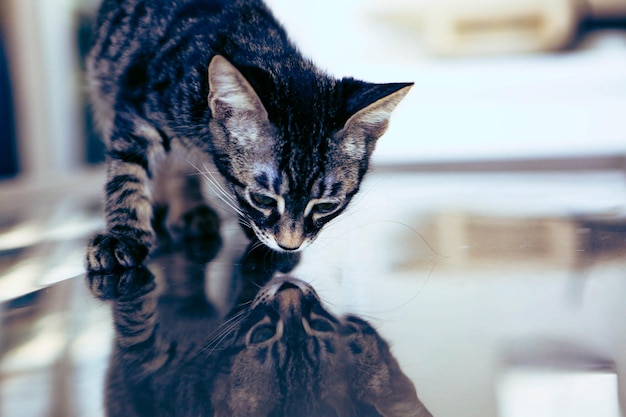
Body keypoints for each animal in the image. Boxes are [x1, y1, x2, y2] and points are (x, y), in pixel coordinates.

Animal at [85, 0, 412, 272]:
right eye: (262, 199)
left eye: (325, 206)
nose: (289, 245)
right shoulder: (136, 107)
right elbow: (126, 176)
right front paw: (123, 237)